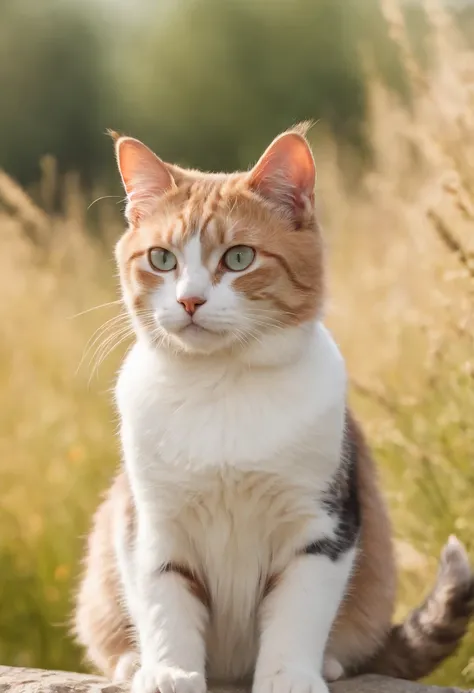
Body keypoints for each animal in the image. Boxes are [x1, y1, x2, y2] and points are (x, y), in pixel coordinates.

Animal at [74, 125, 474, 692]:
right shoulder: (151, 523)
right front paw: (169, 672)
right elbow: (163, 604)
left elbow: (298, 611)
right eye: (162, 259)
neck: (222, 386)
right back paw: (135, 663)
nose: (190, 301)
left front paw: (290, 676)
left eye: (240, 258)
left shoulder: (322, 525)